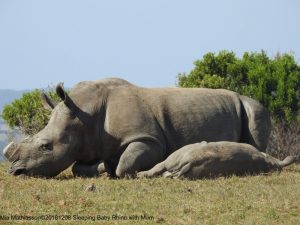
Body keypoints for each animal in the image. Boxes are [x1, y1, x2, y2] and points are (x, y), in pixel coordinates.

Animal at [2, 77, 270, 178]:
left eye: (46, 146)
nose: (16, 172)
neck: (84, 115)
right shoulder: (92, 143)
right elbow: (79, 167)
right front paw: (104, 168)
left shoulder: (148, 138)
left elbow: (125, 164)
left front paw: (114, 170)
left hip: (251, 105)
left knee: (255, 114)